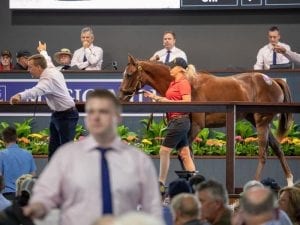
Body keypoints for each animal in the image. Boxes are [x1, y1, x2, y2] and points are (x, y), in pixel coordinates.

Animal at [119, 55, 292, 185]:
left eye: (129, 74)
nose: (121, 96)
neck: (189, 83)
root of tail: (273, 81)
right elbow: (186, 155)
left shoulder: (196, 126)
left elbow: (186, 155)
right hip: (258, 121)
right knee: (277, 147)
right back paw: (289, 183)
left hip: (262, 122)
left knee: (263, 153)